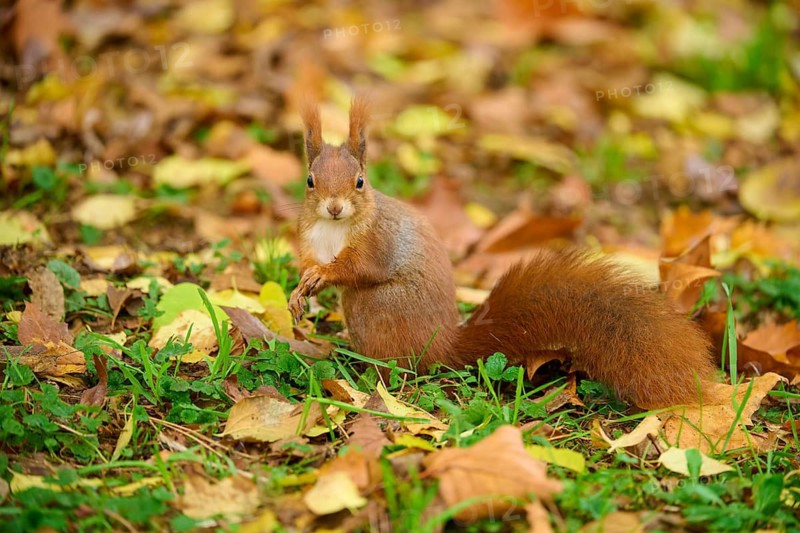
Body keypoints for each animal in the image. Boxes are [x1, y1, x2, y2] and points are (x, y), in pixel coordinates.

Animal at [288, 98, 716, 409]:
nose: (334, 207)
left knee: (401, 368)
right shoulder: (308, 237)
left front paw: (324, 275)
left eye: (360, 182)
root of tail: (443, 347)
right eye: (309, 181)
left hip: (379, 308)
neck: (334, 229)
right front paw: (299, 290)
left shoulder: (379, 240)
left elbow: (360, 266)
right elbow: (307, 261)